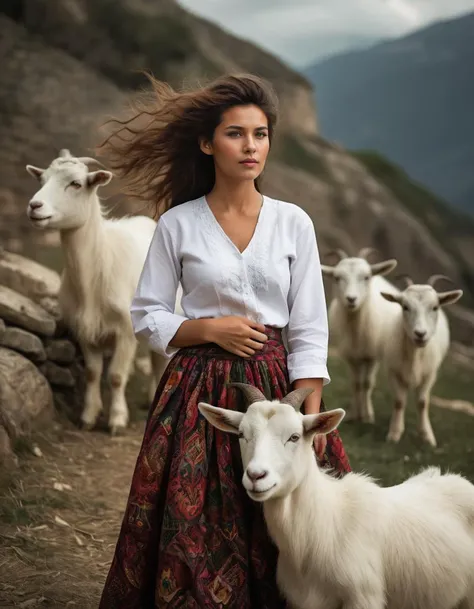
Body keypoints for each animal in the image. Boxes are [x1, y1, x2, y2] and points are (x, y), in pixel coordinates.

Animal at [25, 148, 181, 432]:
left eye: (76, 183)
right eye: (42, 179)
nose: (34, 206)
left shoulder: (126, 331)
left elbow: (117, 376)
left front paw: (117, 420)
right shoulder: (84, 330)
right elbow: (92, 373)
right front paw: (88, 416)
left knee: (160, 361)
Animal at [322, 247, 400, 422]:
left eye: (366, 277)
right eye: (337, 278)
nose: (351, 299)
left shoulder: (372, 356)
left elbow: (367, 383)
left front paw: (368, 416)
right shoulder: (350, 356)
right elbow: (356, 383)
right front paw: (354, 414)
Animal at [382, 274, 462, 444]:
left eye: (435, 307)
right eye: (405, 307)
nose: (420, 334)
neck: (415, 355)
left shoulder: (430, 375)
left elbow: (422, 403)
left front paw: (427, 436)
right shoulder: (392, 371)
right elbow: (399, 401)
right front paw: (395, 433)